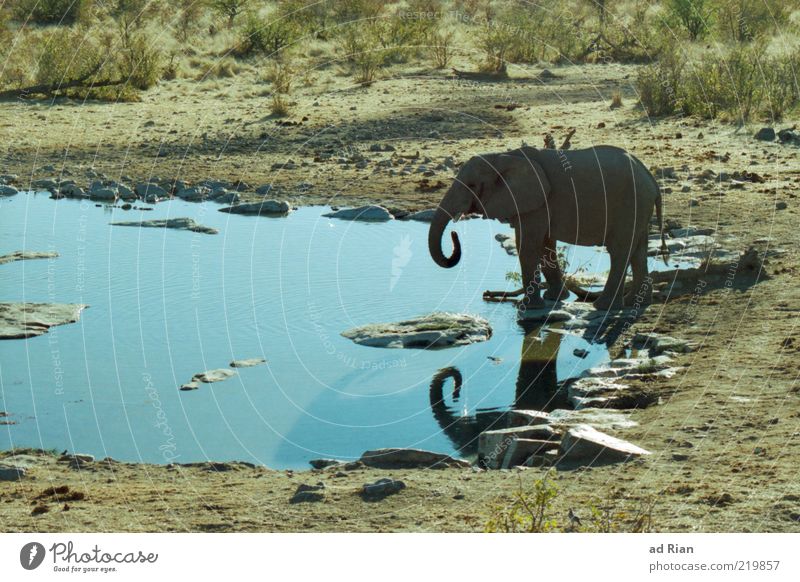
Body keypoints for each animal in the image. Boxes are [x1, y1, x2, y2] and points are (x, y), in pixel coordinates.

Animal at [428, 145, 664, 310]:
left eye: (472, 186)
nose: (454, 233)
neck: (503, 155)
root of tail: (651, 179)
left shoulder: (536, 203)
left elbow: (528, 245)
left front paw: (528, 307)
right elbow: (545, 245)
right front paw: (555, 299)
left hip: (630, 203)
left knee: (620, 251)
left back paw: (603, 307)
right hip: (639, 206)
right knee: (639, 249)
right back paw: (637, 303)